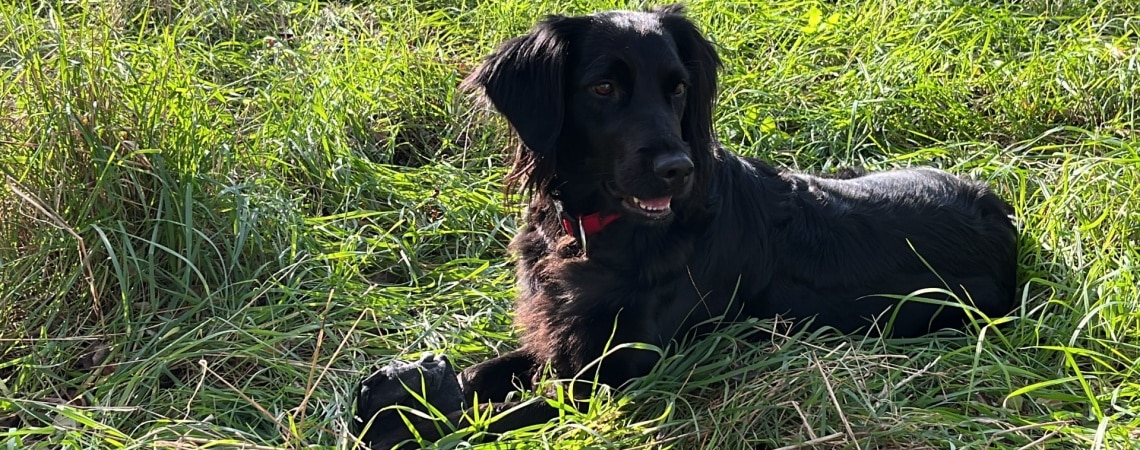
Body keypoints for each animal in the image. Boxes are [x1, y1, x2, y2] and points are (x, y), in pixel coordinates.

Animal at [353, 3, 1016, 446]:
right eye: (603, 87)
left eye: (678, 89)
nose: (678, 168)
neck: (594, 233)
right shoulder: (559, 340)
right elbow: (486, 371)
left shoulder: (609, 377)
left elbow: (501, 413)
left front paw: (409, 421)